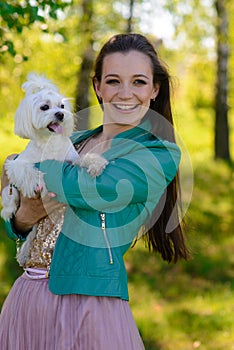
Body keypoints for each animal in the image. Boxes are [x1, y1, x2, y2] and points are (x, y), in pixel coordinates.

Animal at [0, 74, 108, 264]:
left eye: (62, 106)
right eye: (44, 107)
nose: (60, 114)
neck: (50, 142)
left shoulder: (71, 160)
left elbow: (83, 159)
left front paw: (95, 163)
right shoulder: (17, 163)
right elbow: (26, 171)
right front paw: (35, 182)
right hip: (9, 194)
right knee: (10, 206)